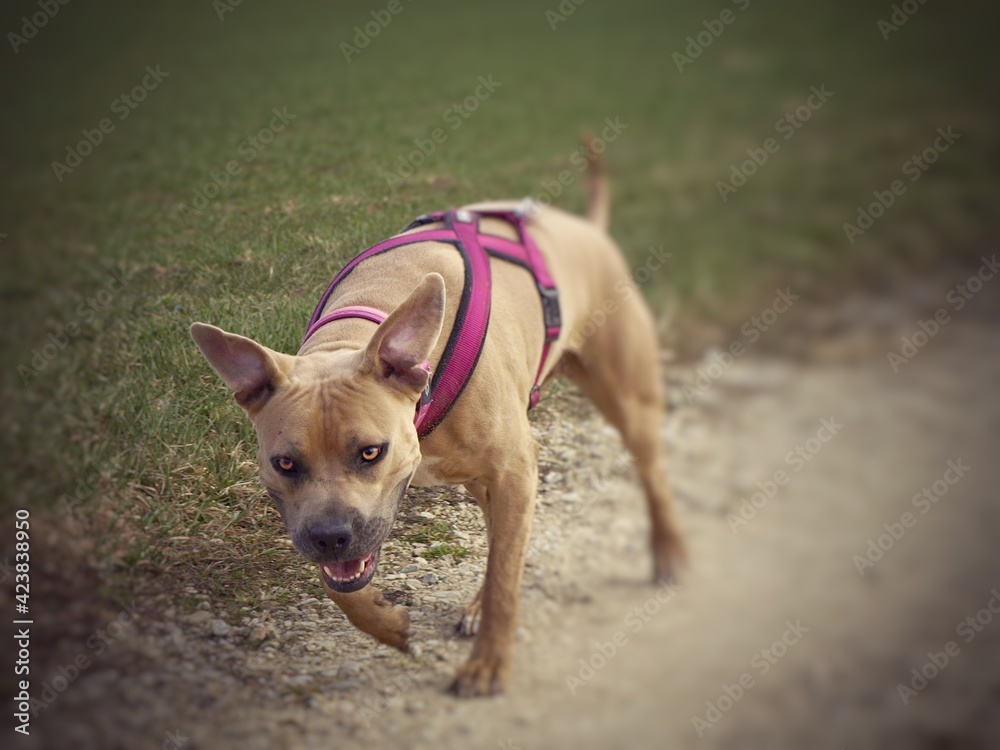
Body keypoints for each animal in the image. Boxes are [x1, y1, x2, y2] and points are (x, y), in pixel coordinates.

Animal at [188, 147, 688, 700]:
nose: (330, 538)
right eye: (284, 463)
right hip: (482, 480)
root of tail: (583, 227)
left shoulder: (514, 468)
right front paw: (386, 625)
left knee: (648, 475)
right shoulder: (324, 517)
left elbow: (505, 580)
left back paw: (669, 552)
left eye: (371, 452)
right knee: (499, 540)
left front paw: (487, 665)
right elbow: (341, 583)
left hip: (624, 399)